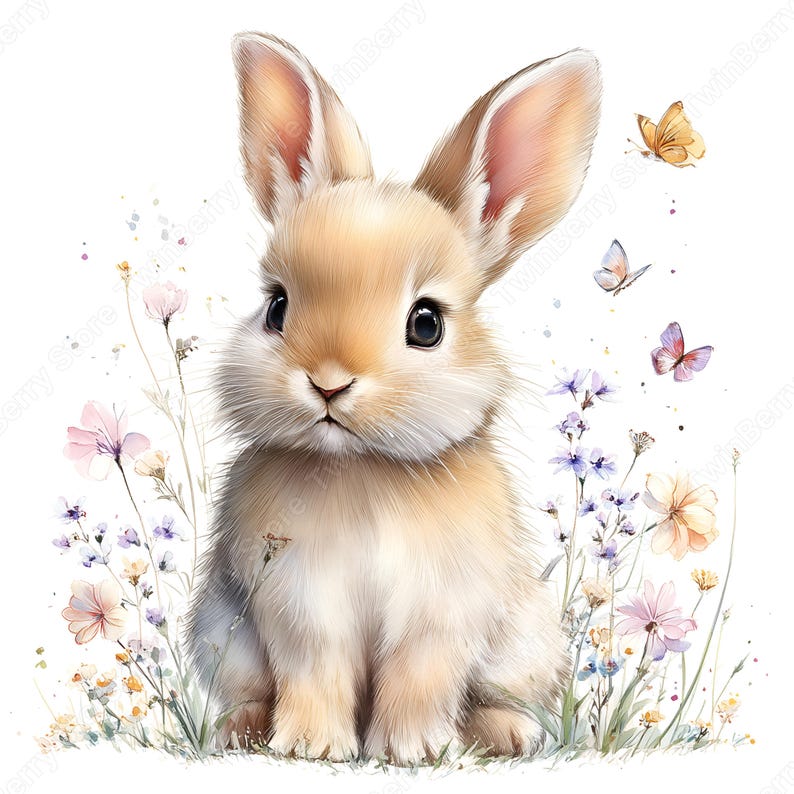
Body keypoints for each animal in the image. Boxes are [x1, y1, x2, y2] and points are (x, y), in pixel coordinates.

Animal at [184, 32, 601, 765]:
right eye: (276, 307)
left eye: (426, 323)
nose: (329, 382)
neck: (364, 471)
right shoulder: (300, 605)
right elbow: (314, 669)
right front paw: (311, 748)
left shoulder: (441, 611)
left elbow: (419, 674)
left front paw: (413, 750)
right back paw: (243, 733)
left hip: (522, 645)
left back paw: (507, 736)